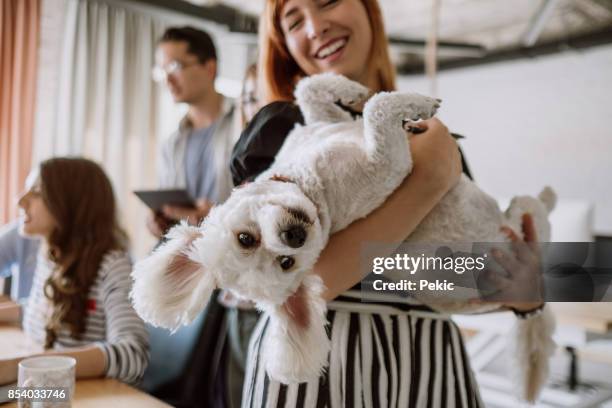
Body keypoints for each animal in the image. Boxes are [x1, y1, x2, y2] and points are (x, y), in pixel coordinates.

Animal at [131, 72, 556, 402]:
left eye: (244, 238)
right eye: (287, 264)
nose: (294, 236)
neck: (309, 178)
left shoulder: (324, 123)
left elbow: (311, 91)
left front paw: (352, 89)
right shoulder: (389, 165)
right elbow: (377, 110)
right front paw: (416, 103)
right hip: (522, 226)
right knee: (534, 214)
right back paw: (545, 200)